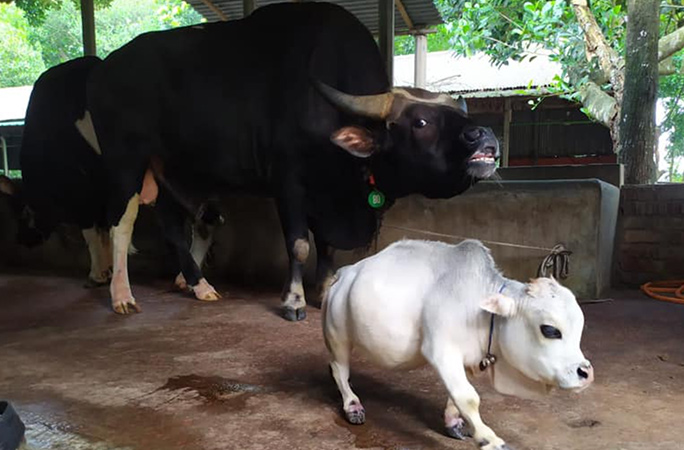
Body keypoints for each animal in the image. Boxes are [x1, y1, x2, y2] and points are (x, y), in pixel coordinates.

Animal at [83, 2, 500, 320]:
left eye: (456, 114)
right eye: (421, 122)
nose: (487, 139)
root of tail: (104, 70)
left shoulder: (329, 197)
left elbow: (327, 249)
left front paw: (325, 291)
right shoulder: (290, 185)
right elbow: (299, 244)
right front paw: (294, 300)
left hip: (172, 170)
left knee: (173, 227)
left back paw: (199, 284)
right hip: (125, 162)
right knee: (121, 224)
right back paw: (122, 295)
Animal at [322, 237, 592, 448]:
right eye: (550, 330)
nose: (586, 373)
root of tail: (344, 273)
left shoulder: (469, 358)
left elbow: (457, 396)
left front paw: (454, 422)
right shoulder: (441, 350)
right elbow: (468, 396)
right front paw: (489, 439)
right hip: (337, 334)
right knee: (339, 369)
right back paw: (352, 405)